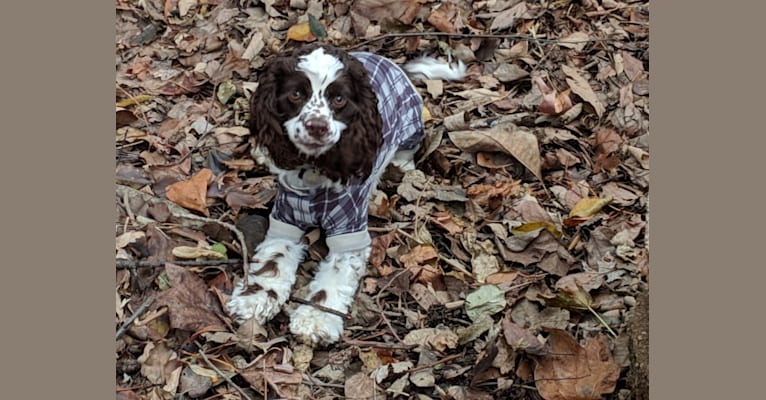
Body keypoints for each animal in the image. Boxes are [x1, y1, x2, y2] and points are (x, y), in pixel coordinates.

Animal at [226, 43, 468, 344]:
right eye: (296, 94)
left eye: (339, 99)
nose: (317, 126)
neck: (314, 170)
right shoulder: (286, 217)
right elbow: (273, 261)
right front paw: (254, 298)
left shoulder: (349, 230)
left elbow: (335, 276)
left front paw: (315, 320)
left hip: (412, 126)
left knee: (405, 152)